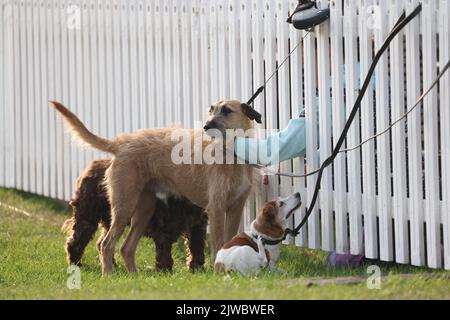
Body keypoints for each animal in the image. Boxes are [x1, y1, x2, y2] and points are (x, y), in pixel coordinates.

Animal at [62, 159, 207, 272]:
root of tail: (90, 167)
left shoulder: (197, 227)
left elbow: (197, 249)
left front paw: (197, 270)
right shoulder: (163, 231)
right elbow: (164, 255)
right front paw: (165, 272)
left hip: (110, 220)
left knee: (102, 243)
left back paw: (112, 265)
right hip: (88, 216)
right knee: (76, 242)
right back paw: (77, 265)